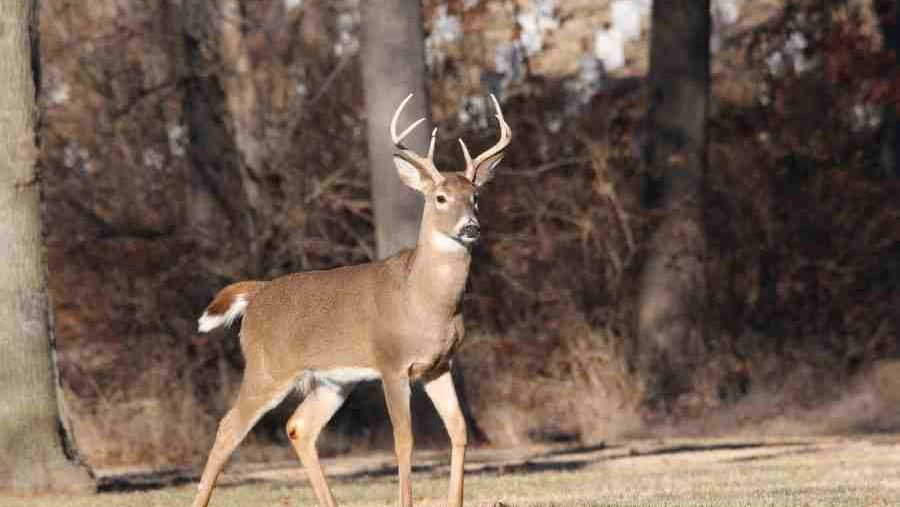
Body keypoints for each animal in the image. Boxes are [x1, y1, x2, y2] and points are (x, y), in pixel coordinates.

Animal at [189, 93, 511, 507]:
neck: (426, 303)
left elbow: (458, 430)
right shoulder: (392, 364)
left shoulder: (439, 365)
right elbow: (404, 441)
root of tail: (256, 294)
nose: (470, 227)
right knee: (229, 426)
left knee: (299, 426)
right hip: (267, 368)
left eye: (475, 197)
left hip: (332, 381)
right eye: (440, 197)